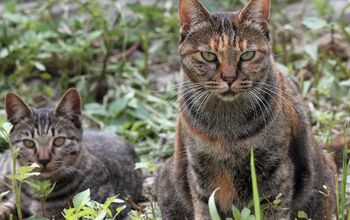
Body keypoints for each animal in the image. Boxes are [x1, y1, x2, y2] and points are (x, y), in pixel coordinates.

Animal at [157, 0, 336, 219]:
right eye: (209, 56)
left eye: (247, 55)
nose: (229, 78)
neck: (226, 126)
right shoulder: (199, 172)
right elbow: (205, 209)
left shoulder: (275, 172)